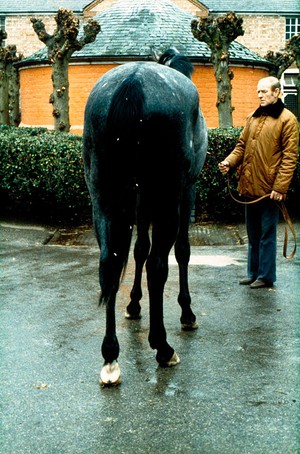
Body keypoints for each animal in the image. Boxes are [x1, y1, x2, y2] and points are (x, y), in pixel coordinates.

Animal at [83, 48, 207, 384]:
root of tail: (133, 80)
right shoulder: (186, 191)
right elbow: (181, 251)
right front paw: (187, 312)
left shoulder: (138, 198)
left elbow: (137, 250)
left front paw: (134, 304)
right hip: (166, 198)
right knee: (157, 265)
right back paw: (162, 346)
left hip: (103, 196)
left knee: (109, 263)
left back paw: (110, 355)